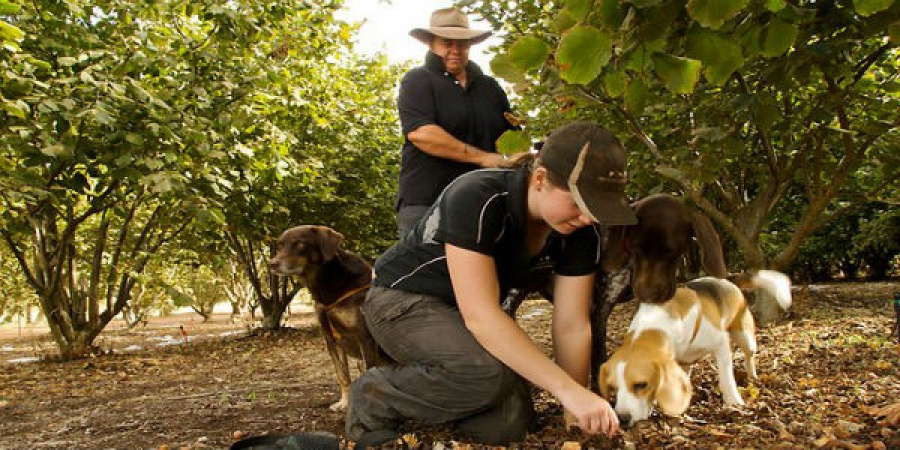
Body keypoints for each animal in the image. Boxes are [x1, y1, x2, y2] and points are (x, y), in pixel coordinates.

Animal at [270, 225, 390, 412]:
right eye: (280, 245)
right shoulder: (332, 339)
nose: (272, 264)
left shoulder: (364, 337)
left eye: (299, 244)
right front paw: (345, 403)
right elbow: (342, 375)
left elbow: (368, 375)